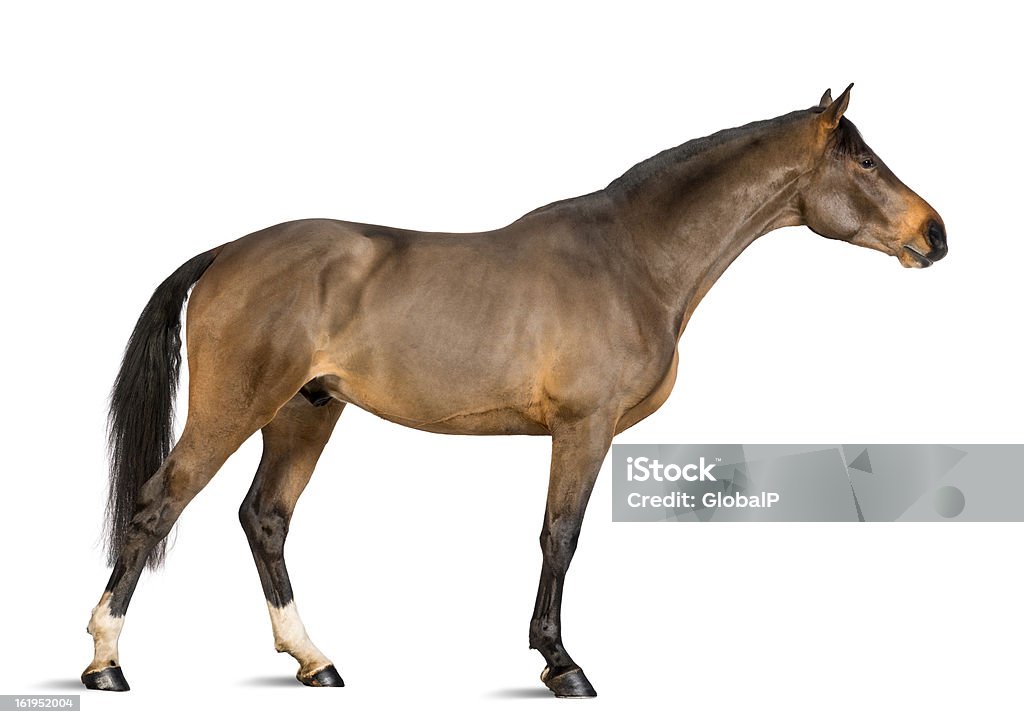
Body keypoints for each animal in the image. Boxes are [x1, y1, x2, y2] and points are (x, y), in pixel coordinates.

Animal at [83, 84, 946, 696]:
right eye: (866, 163)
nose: (934, 234)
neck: (630, 258)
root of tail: (228, 251)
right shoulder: (583, 428)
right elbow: (559, 537)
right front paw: (562, 664)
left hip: (305, 413)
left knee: (264, 518)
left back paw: (313, 661)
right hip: (236, 408)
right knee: (159, 504)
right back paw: (106, 662)